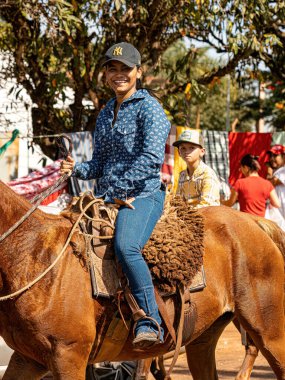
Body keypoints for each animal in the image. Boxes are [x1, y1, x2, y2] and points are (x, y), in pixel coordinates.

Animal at [0, 180, 282, 380]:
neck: (35, 254)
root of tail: (253, 221)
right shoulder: (28, 359)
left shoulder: (68, 356)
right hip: (203, 340)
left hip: (268, 331)